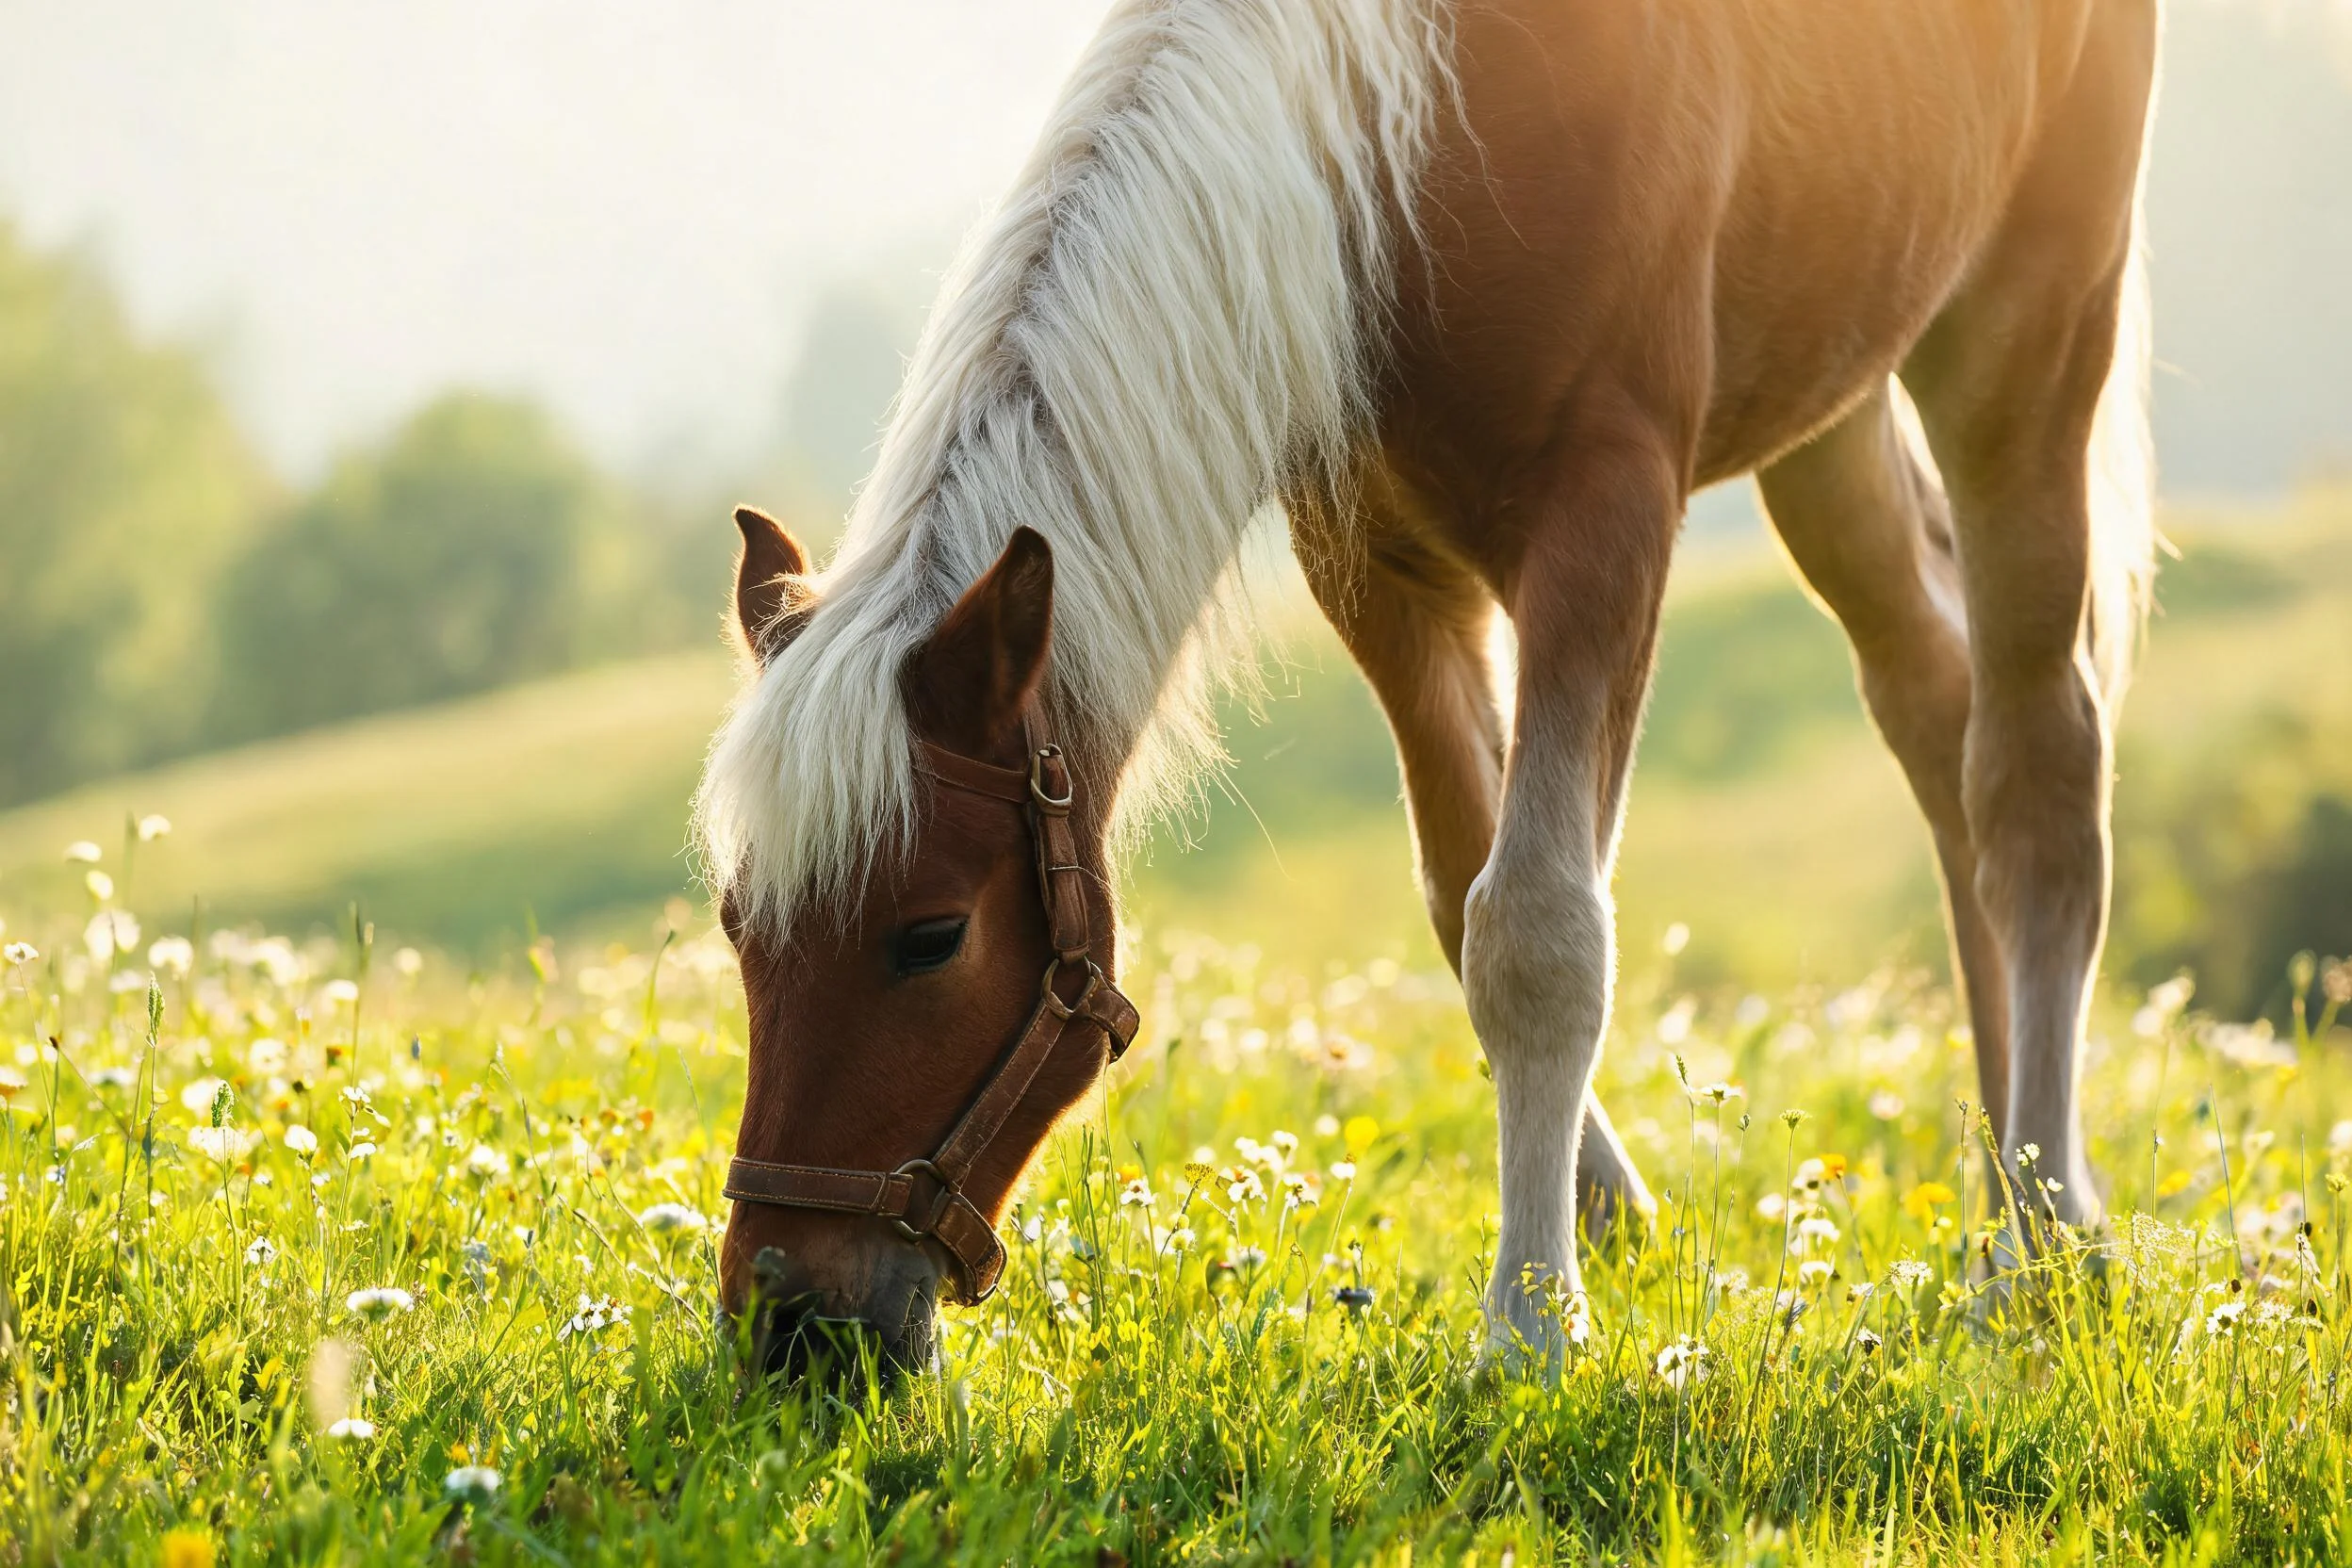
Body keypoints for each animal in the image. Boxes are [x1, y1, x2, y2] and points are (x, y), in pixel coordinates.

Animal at [697, 0, 2159, 1370]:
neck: (1421, 133)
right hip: (1833, 401)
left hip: (2024, 336)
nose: (787, 1320)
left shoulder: (1608, 509)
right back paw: (2012, 1184)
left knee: (2037, 769)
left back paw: (2040, 1242)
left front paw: (1531, 1323)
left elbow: (1539, 927)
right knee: (1935, 704)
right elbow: (1466, 899)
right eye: (738, 929)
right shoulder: (1374, 564)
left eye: (932, 934)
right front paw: (1606, 1231)